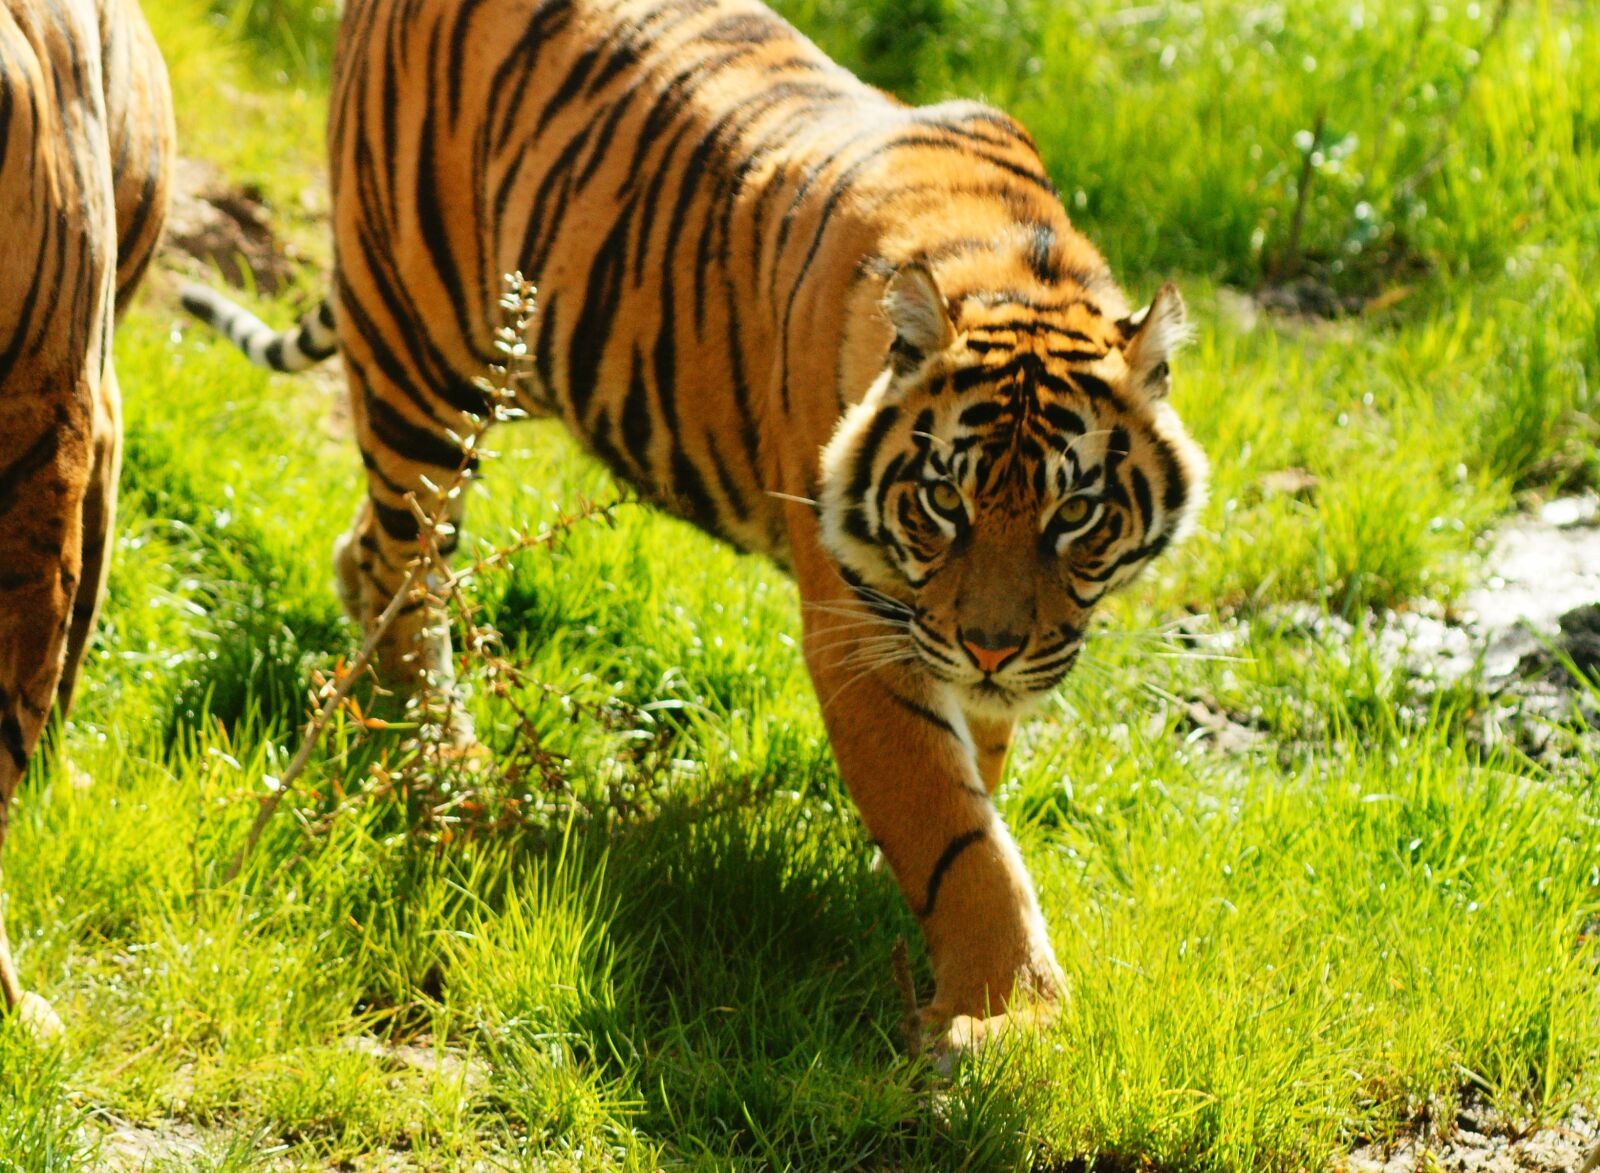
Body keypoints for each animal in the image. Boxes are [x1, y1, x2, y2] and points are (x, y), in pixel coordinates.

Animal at [181, 0, 1206, 1052]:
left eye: (1074, 513)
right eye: (943, 503)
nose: (993, 649)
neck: (1013, 268)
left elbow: (978, 780)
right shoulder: (863, 631)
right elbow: (952, 829)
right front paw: (1010, 1012)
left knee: (367, 552)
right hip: (420, 356)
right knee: (405, 567)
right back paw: (446, 768)